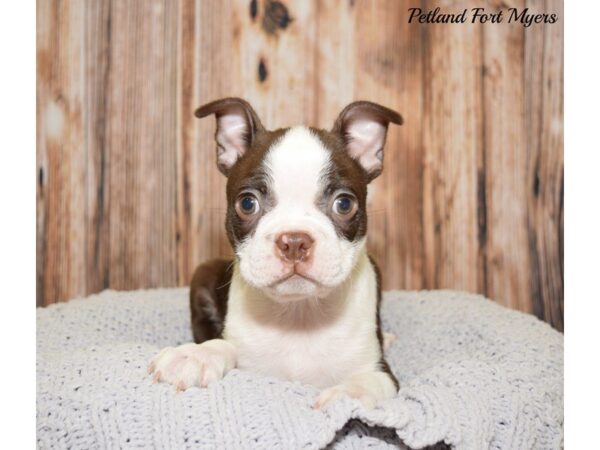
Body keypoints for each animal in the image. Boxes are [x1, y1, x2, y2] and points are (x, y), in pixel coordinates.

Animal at [149, 98, 404, 412]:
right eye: (247, 203)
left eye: (344, 204)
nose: (294, 241)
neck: (299, 313)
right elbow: (223, 345)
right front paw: (194, 356)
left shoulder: (381, 371)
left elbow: (369, 381)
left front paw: (347, 396)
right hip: (203, 274)